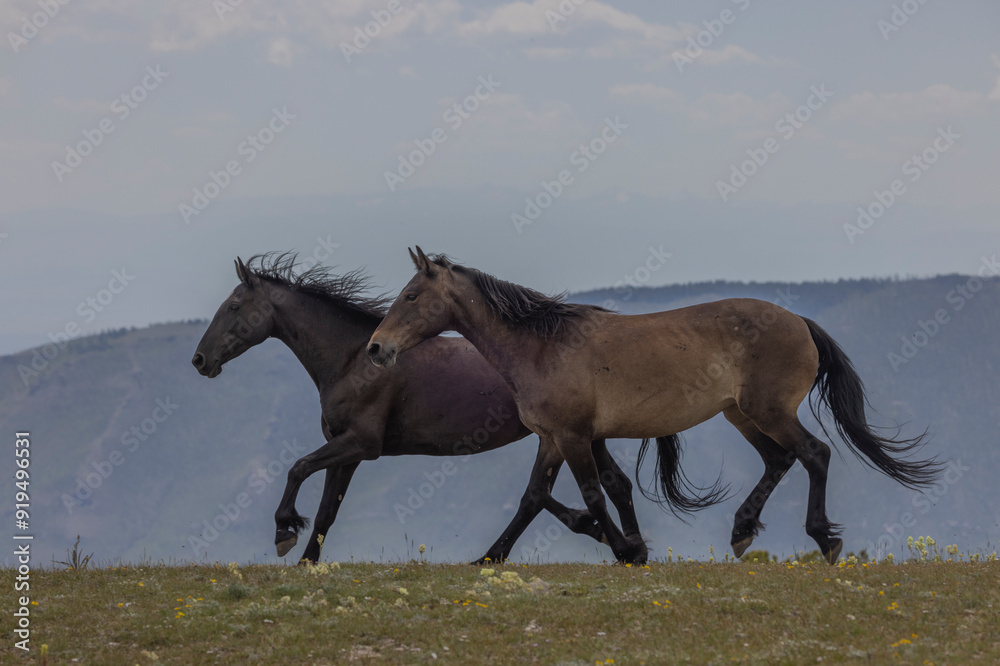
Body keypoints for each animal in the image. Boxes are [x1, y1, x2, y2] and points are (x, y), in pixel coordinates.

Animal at [364, 246, 940, 564]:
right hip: (741, 414)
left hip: (770, 411)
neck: (542, 346)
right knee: (780, 459)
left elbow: (591, 495)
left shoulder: (573, 436)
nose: (376, 348)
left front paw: (626, 552)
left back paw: (824, 540)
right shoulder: (554, 437)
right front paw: (489, 556)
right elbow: (534, 497)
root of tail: (799, 321)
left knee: (813, 454)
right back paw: (741, 532)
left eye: (412, 296)